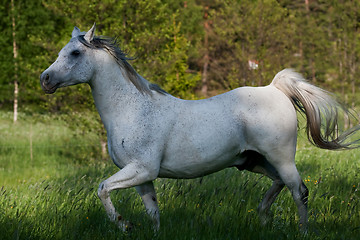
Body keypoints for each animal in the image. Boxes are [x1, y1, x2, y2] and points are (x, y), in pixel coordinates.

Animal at [41, 23, 358, 232]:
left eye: (75, 54)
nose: (45, 79)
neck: (131, 109)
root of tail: (275, 89)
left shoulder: (141, 170)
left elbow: (103, 188)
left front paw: (124, 225)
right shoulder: (142, 177)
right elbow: (153, 211)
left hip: (281, 157)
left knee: (298, 191)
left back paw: (301, 230)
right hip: (253, 161)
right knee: (279, 184)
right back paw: (263, 217)